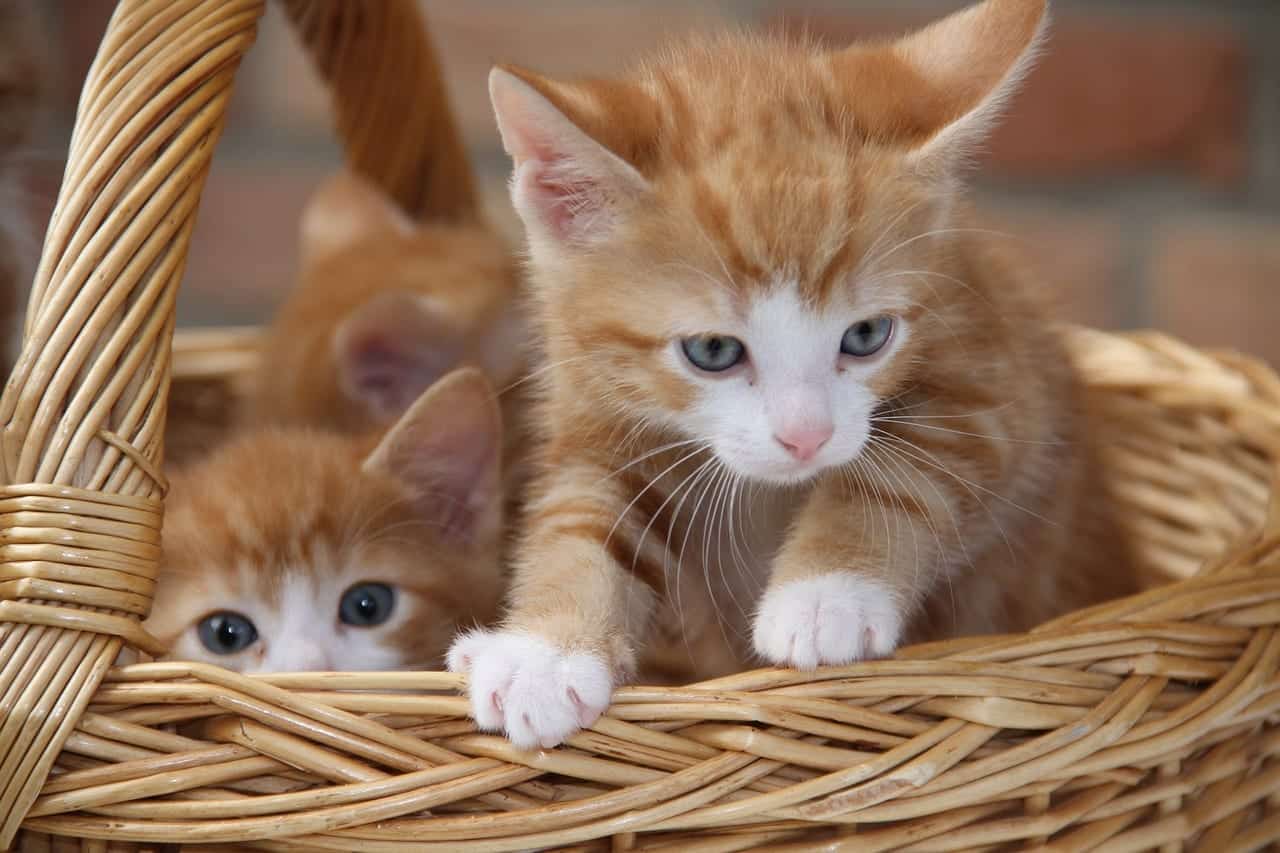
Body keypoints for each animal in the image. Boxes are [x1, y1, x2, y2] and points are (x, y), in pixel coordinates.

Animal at [448, 0, 1141, 742]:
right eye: (712, 351)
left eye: (866, 336)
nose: (806, 438)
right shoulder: (596, 412)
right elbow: (581, 518)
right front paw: (542, 653)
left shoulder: (991, 377)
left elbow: (906, 472)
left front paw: (825, 596)